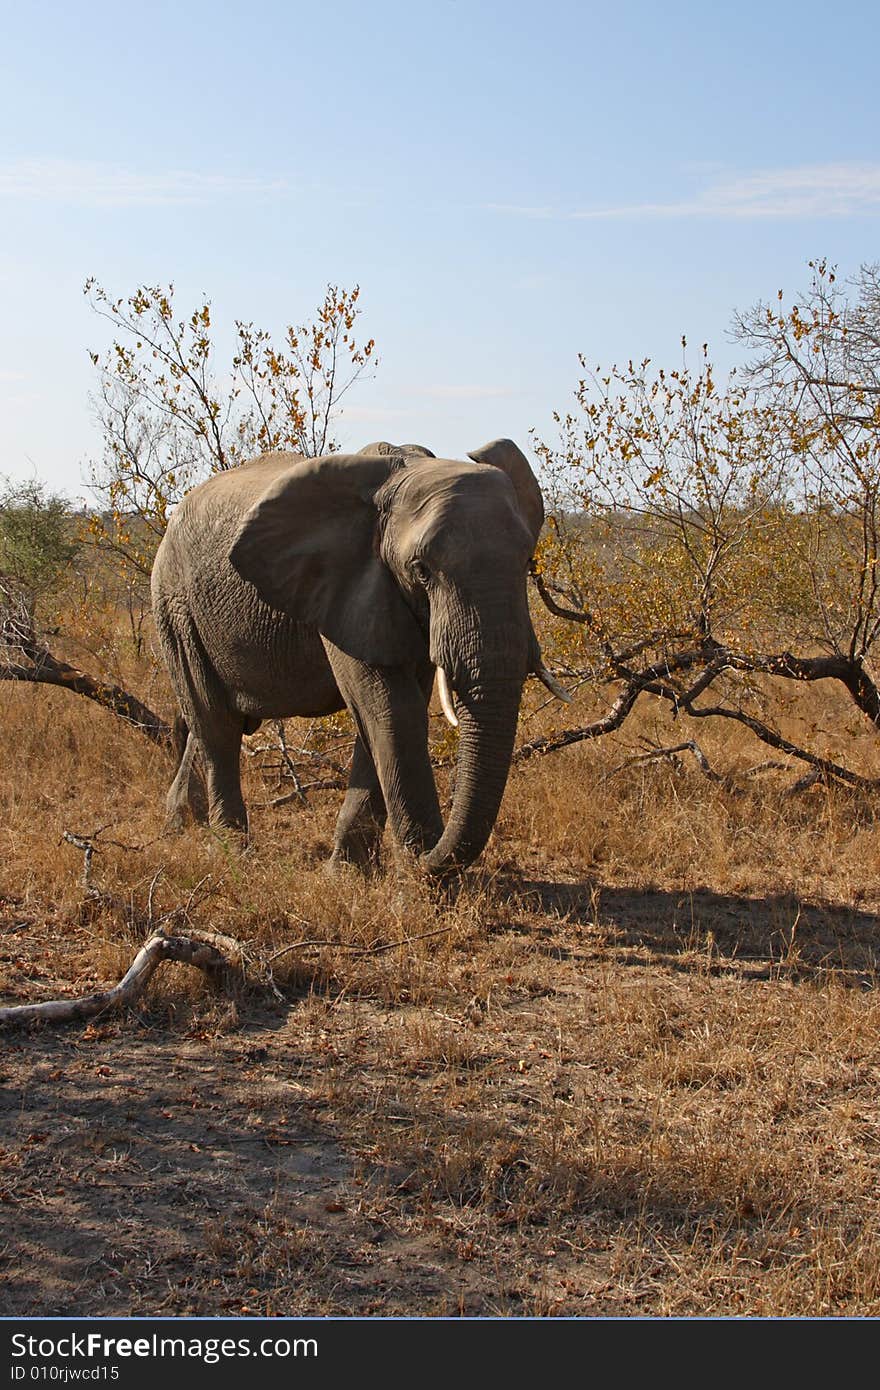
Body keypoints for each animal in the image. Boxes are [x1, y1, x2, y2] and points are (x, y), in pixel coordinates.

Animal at [147, 439, 567, 872]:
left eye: (527, 562)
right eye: (421, 571)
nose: (426, 855)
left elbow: (389, 711)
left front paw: (351, 872)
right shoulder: (346, 586)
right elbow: (391, 710)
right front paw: (412, 866)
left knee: (210, 722)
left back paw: (182, 823)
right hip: (176, 607)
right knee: (215, 723)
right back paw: (232, 850)